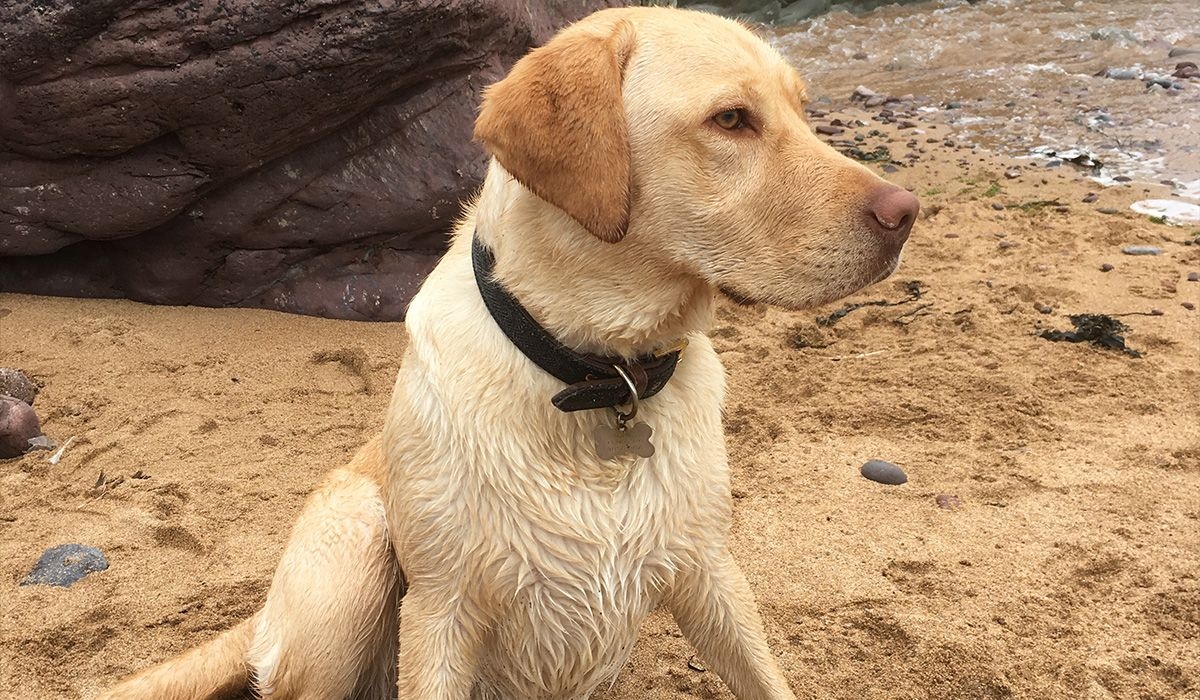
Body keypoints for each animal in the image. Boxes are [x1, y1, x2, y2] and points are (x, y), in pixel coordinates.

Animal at [100, 6, 916, 700]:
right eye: (732, 120)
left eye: (804, 111)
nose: (907, 212)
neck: (599, 375)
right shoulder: (441, 613)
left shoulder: (710, 574)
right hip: (355, 549)